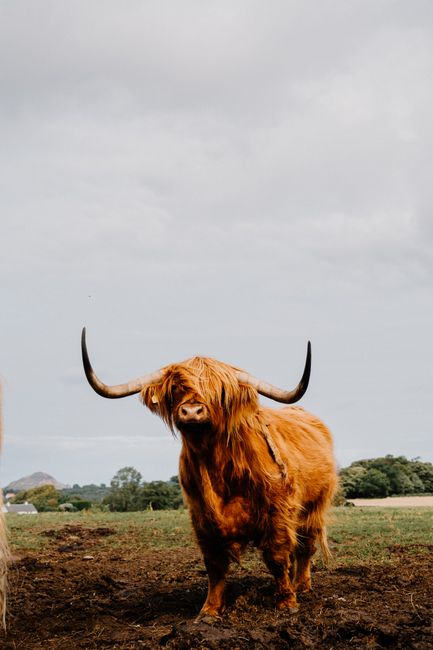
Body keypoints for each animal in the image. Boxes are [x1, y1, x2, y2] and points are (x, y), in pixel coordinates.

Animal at [81, 328, 337, 620]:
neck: (218, 469)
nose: (192, 411)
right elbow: (214, 565)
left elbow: (277, 556)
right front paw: (209, 610)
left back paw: (301, 585)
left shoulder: (277, 511)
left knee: (305, 546)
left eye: (219, 392)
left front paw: (287, 602)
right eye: (177, 388)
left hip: (314, 507)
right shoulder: (201, 515)